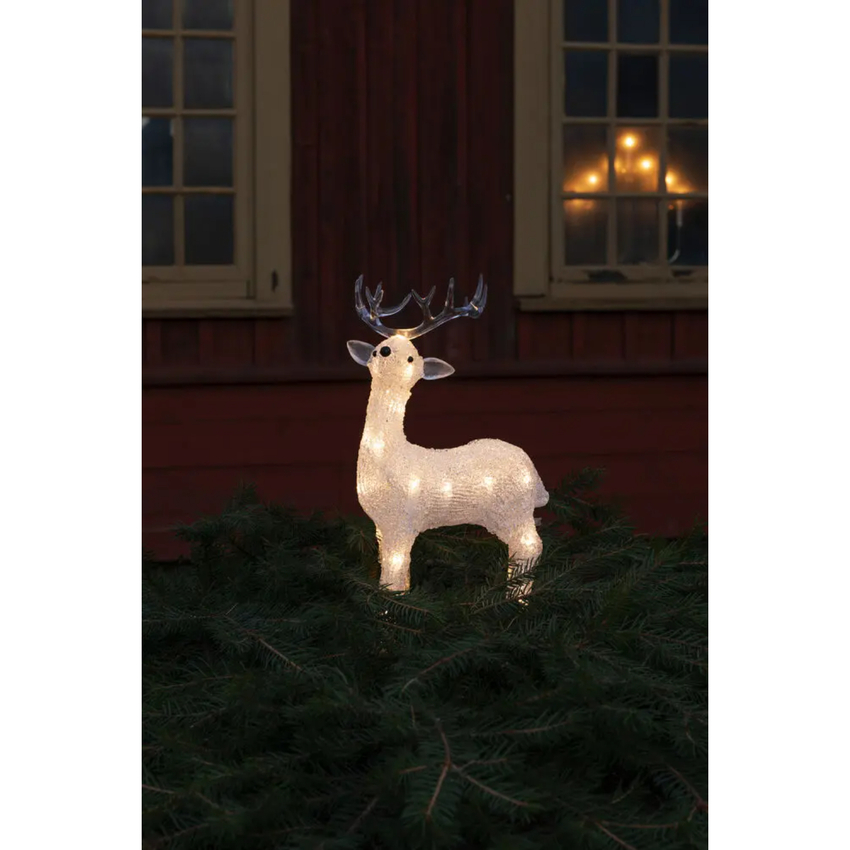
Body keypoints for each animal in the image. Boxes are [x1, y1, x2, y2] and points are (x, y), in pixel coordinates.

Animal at [347, 276, 548, 598]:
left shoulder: (402, 519)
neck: (391, 454)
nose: (385, 352)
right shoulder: (381, 525)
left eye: (411, 357)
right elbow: (394, 572)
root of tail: (534, 476)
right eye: (378, 348)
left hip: (512, 510)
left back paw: (515, 600)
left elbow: (393, 576)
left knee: (530, 547)